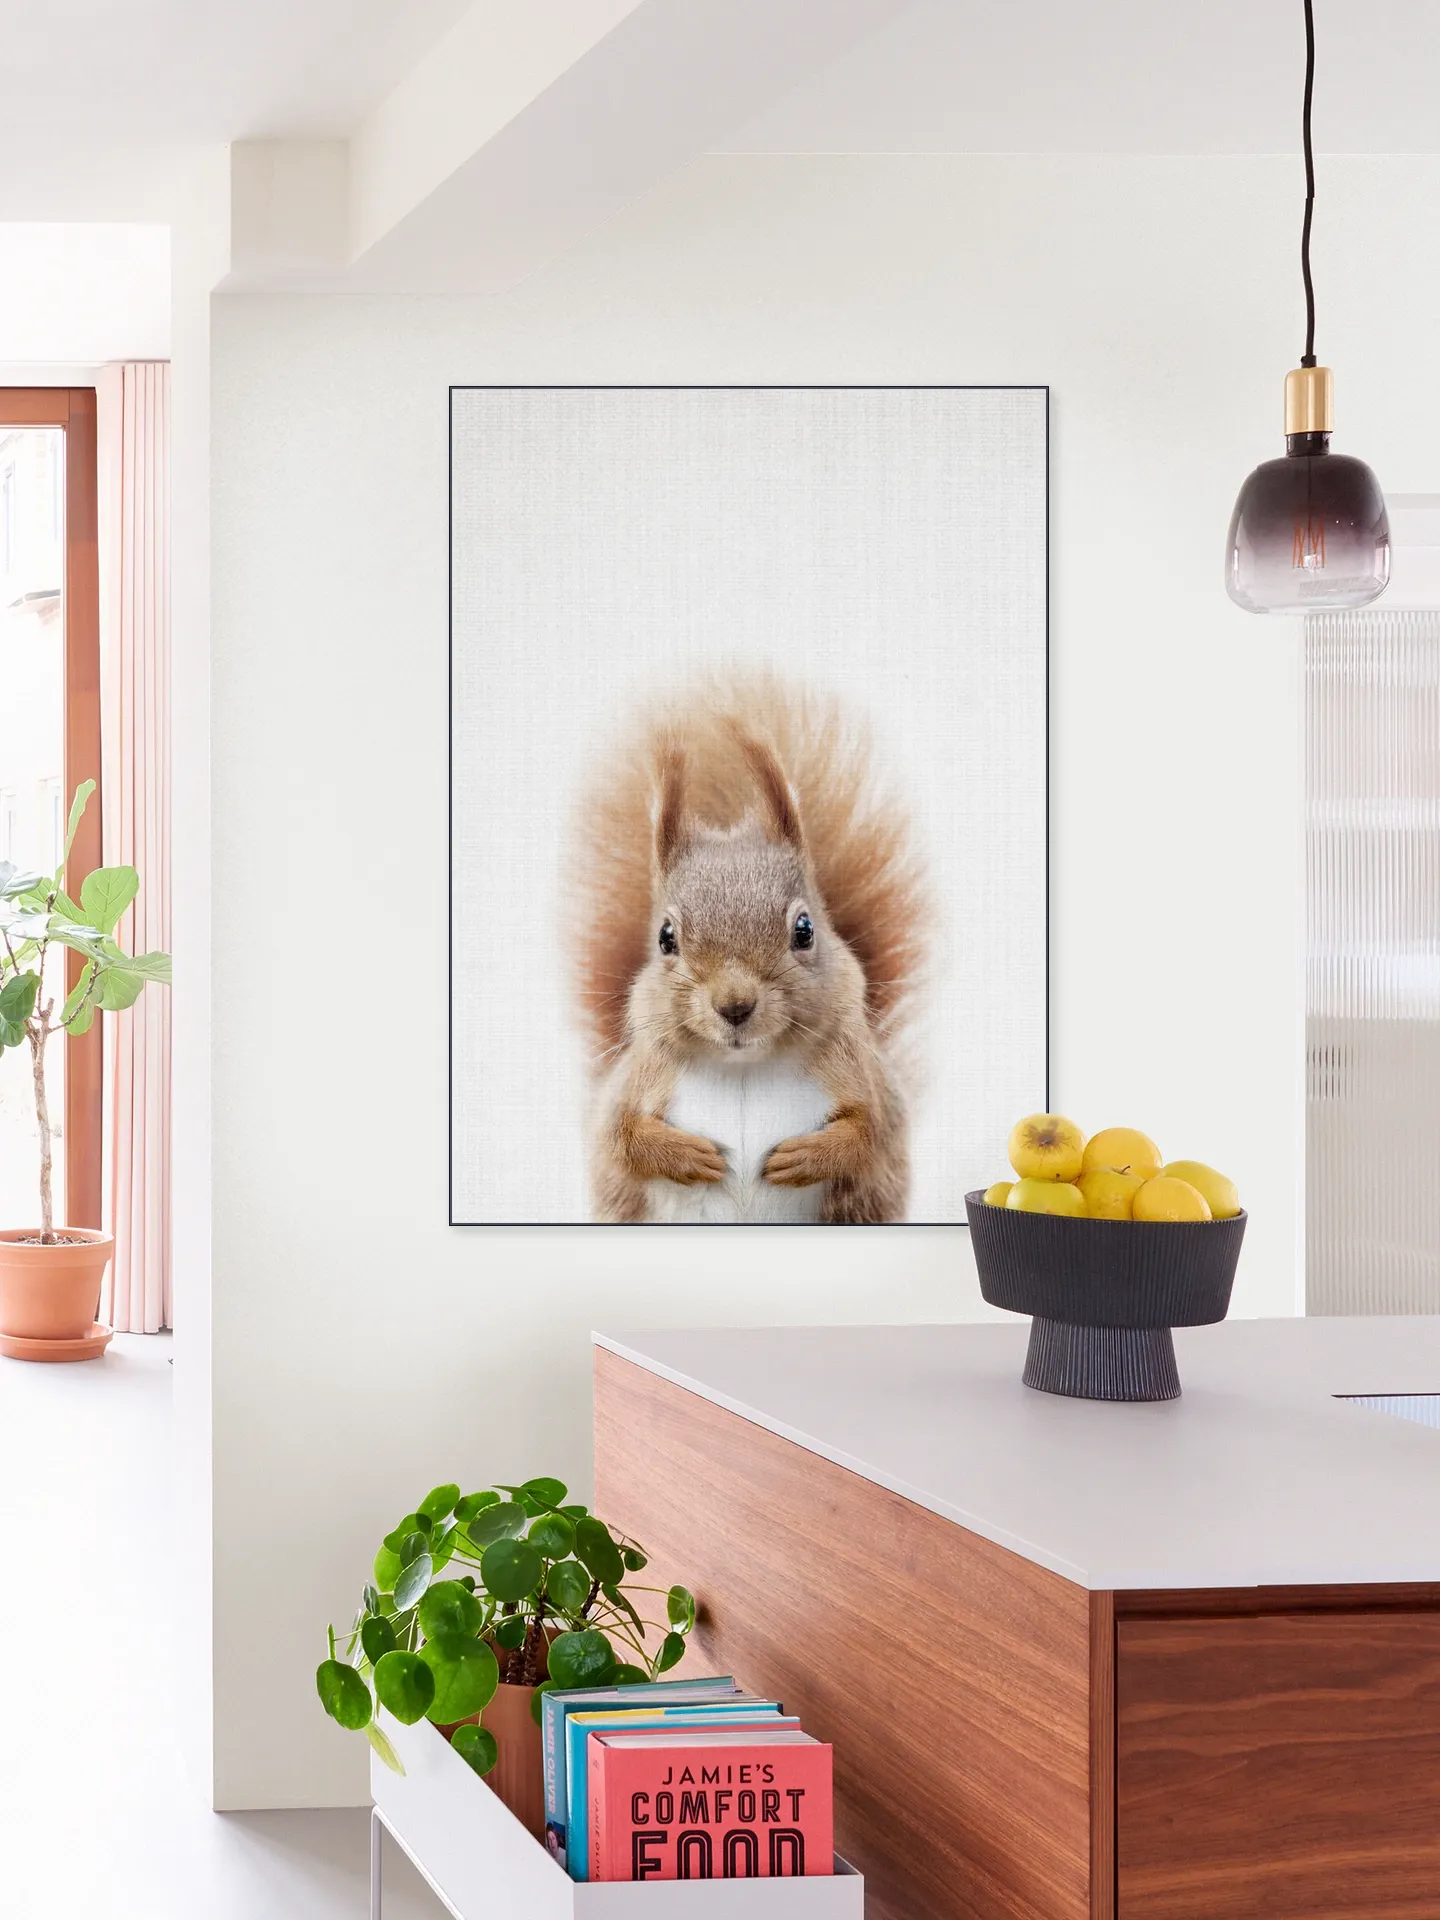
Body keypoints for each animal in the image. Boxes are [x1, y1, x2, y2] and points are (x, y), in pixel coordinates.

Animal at [569, 672, 924, 1225]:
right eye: (665, 938)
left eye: (805, 930)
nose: (734, 1006)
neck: (744, 1068)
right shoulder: (635, 1084)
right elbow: (620, 1137)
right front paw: (684, 1154)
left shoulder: (868, 1081)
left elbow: (871, 1132)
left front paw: (810, 1155)